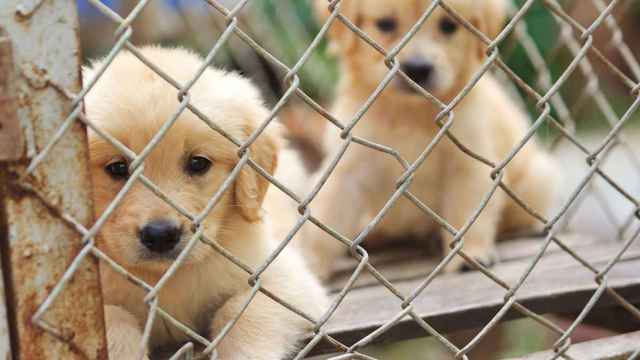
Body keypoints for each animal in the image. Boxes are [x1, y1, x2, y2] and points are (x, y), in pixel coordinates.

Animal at [83, 46, 328, 358]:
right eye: (117, 168)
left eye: (198, 163)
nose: (161, 235)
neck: (167, 279)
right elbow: (113, 317)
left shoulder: (284, 279)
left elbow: (243, 310)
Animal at [310, 0, 560, 278]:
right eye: (385, 24)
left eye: (449, 26)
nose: (418, 69)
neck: (410, 112)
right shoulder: (349, 167)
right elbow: (324, 221)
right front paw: (309, 263)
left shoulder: (468, 165)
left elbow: (467, 213)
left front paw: (469, 254)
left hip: (536, 179)